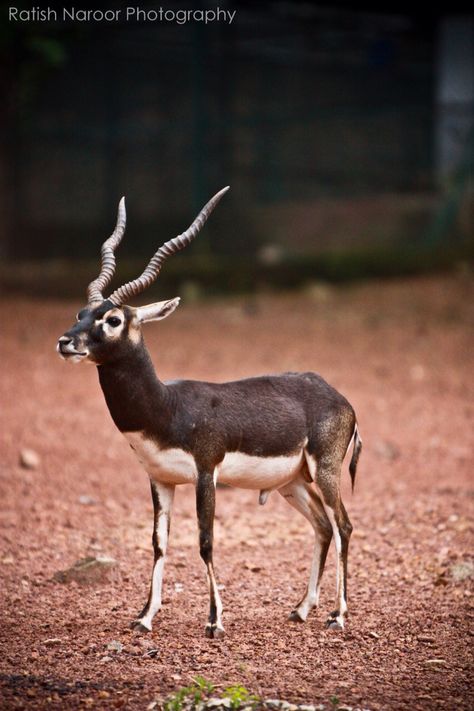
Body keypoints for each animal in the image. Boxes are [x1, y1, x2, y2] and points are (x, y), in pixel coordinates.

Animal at [57, 186, 362, 636]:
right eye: (81, 313)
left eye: (112, 319)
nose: (66, 342)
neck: (167, 408)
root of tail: (340, 397)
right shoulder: (160, 480)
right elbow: (159, 543)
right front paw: (144, 617)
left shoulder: (206, 472)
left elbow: (204, 542)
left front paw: (215, 621)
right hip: (292, 482)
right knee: (322, 527)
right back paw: (302, 608)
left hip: (324, 471)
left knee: (343, 525)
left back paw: (338, 615)